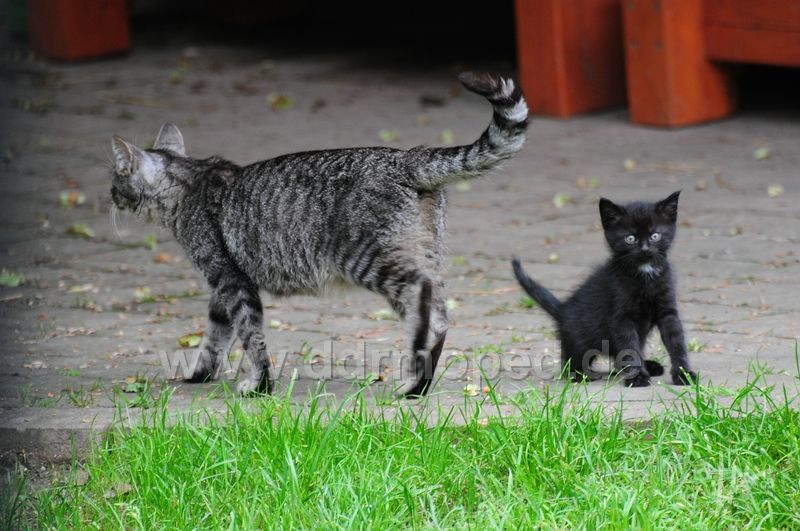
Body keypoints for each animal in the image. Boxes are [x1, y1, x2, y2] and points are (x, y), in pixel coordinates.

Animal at [109, 72, 528, 397]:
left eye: (115, 179)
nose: (109, 196)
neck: (189, 182)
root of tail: (405, 156)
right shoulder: (224, 286)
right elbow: (215, 335)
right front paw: (200, 374)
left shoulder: (231, 280)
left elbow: (250, 336)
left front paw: (259, 386)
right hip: (422, 254)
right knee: (434, 308)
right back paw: (419, 384)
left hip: (367, 259)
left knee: (426, 303)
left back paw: (412, 383)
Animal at [512, 192, 697, 387]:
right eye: (630, 238)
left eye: (655, 236)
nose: (645, 249)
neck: (644, 273)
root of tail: (563, 310)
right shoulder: (621, 317)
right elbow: (630, 347)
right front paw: (637, 377)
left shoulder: (668, 311)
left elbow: (677, 343)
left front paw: (684, 374)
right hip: (580, 339)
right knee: (569, 363)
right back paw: (581, 374)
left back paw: (649, 366)